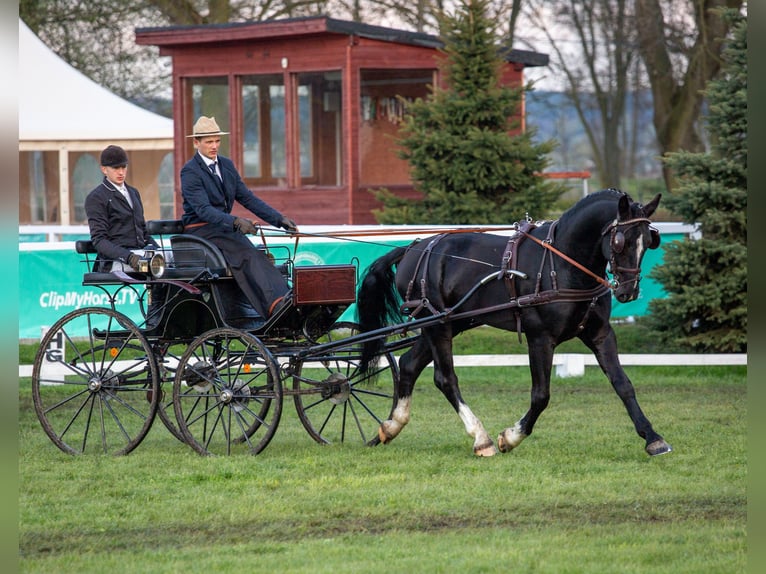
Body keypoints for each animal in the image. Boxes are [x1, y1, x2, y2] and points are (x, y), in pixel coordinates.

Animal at [358, 189, 672, 460]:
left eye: (649, 240)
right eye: (620, 240)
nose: (629, 291)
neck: (562, 262)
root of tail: (414, 247)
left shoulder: (600, 334)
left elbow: (623, 384)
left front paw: (653, 438)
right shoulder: (540, 338)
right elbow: (541, 395)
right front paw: (511, 437)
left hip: (446, 322)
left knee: (409, 364)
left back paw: (390, 426)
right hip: (438, 326)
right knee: (445, 379)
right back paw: (480, 438)